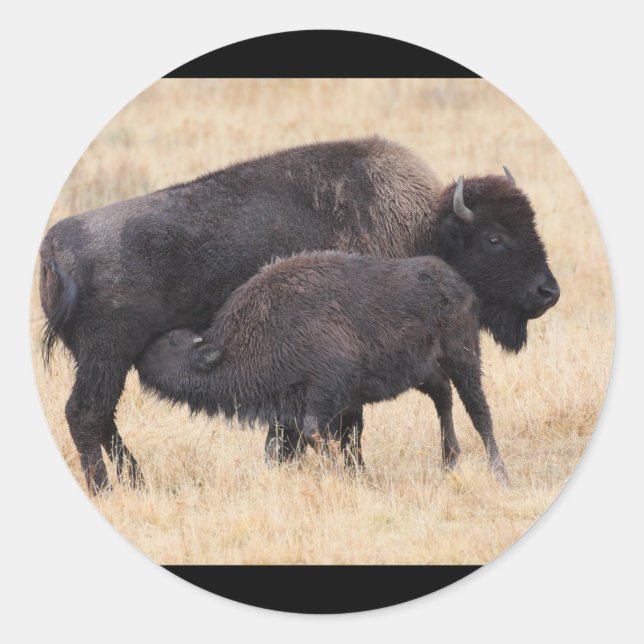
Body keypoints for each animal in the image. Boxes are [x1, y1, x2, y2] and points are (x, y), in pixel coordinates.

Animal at [136, 252, 507, 481]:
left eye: (172, 344)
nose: (139, 354)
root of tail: (459, 283)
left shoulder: (325, 394)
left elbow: (318, 434)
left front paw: (340, 475)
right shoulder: (287, 412)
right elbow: (282, 447)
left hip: (464, 358)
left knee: (479, 413)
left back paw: (499, 474)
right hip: (427, 372)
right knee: (444, 400)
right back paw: (449, 463)